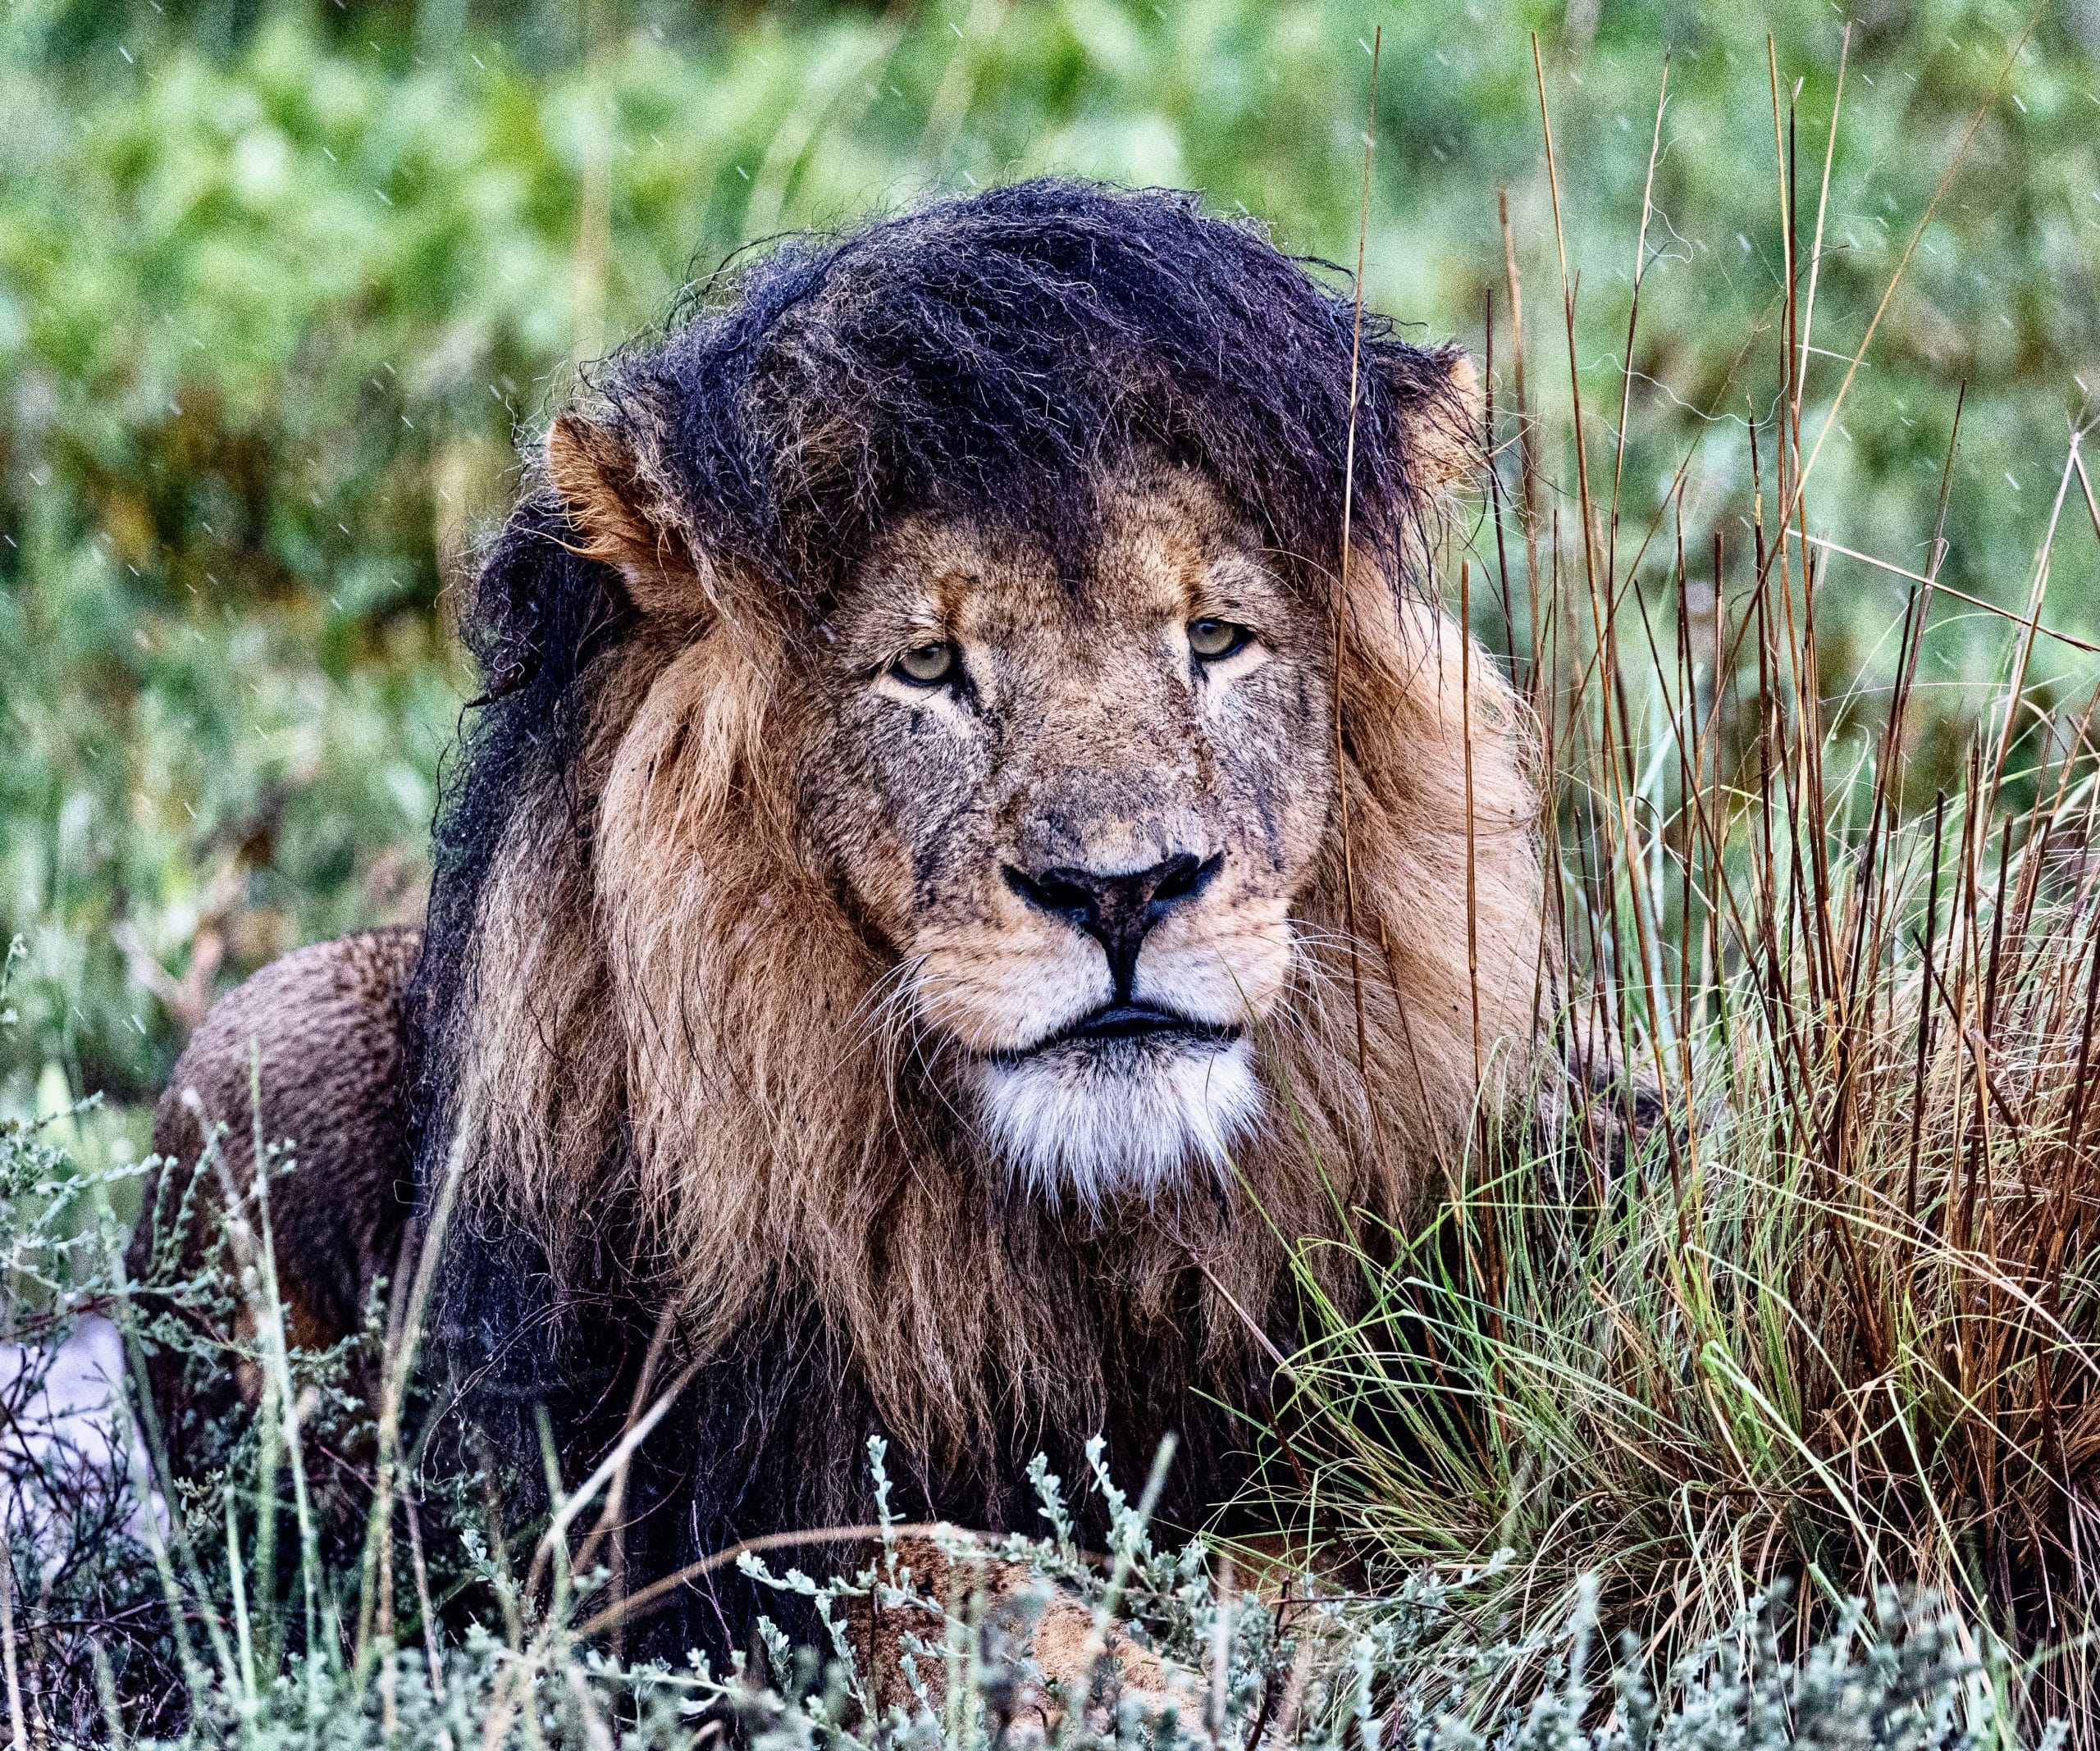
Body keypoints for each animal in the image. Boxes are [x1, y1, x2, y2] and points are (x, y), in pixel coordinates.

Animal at [132, 181, 1551, 1663]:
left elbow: (1325, 1559)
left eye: (1215, 638)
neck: (1056, 1239)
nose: (1123, 890)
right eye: (927, 666)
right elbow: (916, 1576)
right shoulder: (651, 1563)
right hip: (264, 1029)